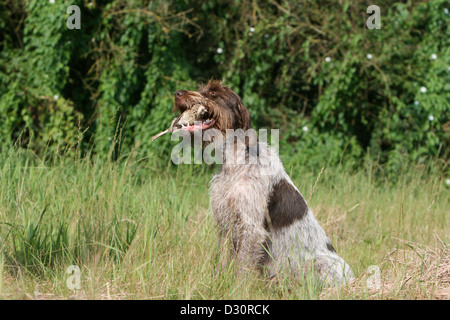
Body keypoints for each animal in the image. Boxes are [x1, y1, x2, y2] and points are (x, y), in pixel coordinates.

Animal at [160, 80, 354, 288]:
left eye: (214, 93)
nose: (177, 93)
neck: (235, 163)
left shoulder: (251, 228)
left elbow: (242, 267)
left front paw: (237, 289)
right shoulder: (226, 224)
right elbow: (222, 260)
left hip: (319, 263)